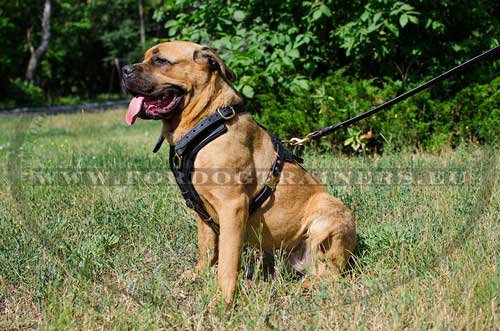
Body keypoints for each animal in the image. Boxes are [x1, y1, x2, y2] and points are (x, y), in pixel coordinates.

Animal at [121, 40, 356, 304]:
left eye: (160, 60)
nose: (124, 70)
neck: (205, 122)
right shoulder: (202, 211)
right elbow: (206, 248)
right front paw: (199, 274)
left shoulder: (232, 207)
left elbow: (226, 262)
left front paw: (222, 301)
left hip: (327, 214)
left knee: (331, 276)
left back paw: (294, 289)